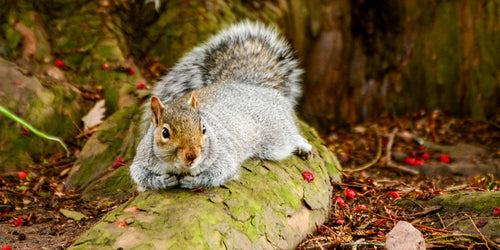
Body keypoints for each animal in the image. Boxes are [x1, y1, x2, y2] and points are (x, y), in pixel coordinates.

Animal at [130, 21, 308, 190]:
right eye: (165, 132)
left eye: (204, 128)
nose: (192, 155)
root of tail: (251, 86)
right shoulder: (143, 157)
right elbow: (139, 174)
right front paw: (161, 181)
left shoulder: (224, 154)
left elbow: (221, 172)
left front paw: (194, 181)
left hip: (275, 132)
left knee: (288, 137)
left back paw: (302, 144)